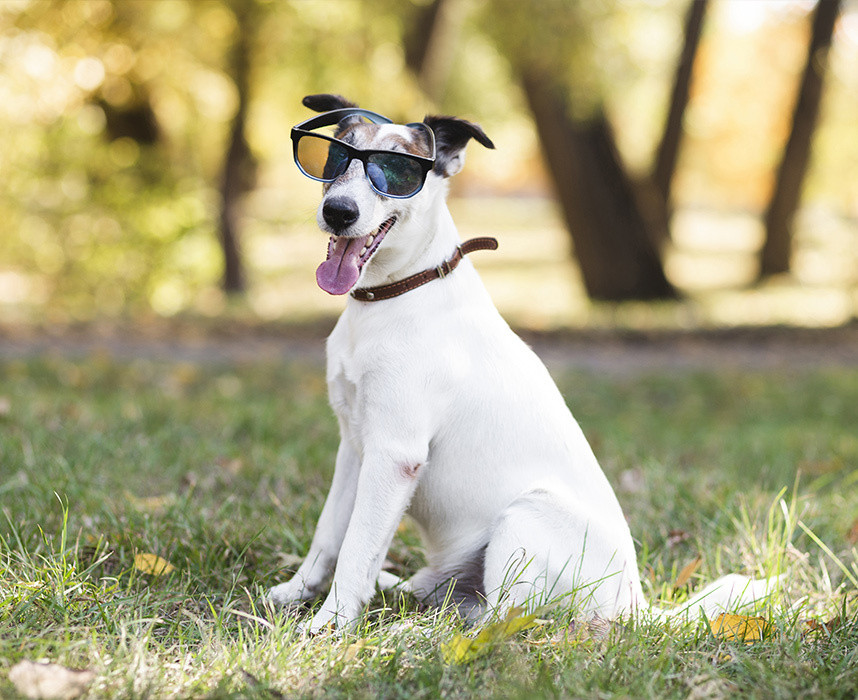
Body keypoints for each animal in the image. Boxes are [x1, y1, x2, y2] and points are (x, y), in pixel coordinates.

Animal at [266, 93, 768, 636]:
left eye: (396, 171)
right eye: (336, 157)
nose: (338, 212)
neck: (397, 293)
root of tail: (634, 607)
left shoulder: (394, 453)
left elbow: (357, 547)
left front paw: (329, 624)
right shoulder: (355, 445)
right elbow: (330, 535)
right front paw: (298, 592)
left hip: (524, 516)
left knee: (500, 620)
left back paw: (412, 632)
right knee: (462, 603)